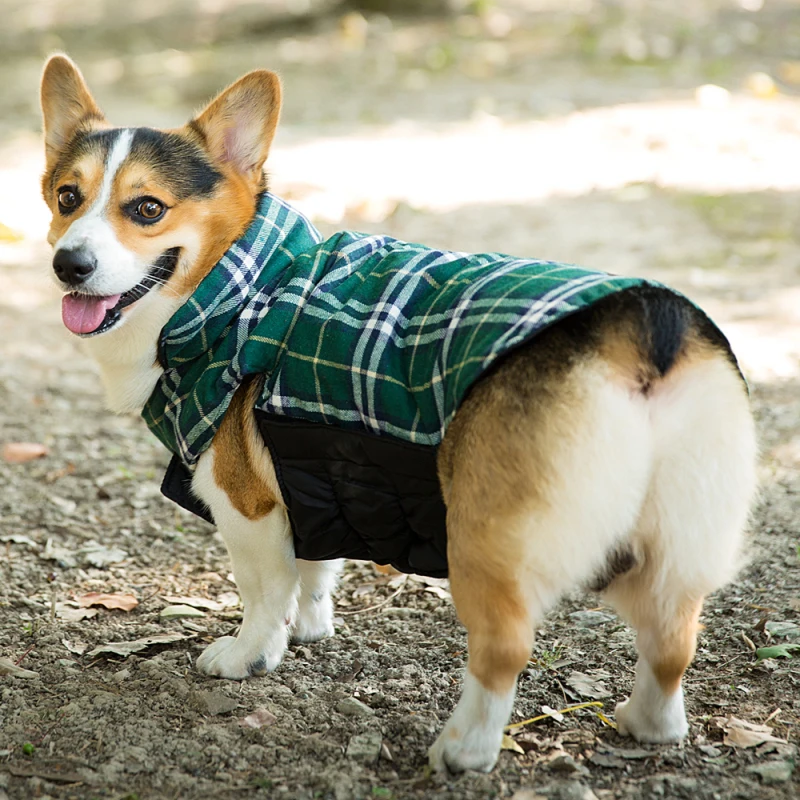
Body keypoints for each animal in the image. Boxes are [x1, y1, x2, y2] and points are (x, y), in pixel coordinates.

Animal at [42, 51, 756, 776]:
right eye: (67, 197)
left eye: (147, 208)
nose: (69, 264)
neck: (239, 283)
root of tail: (646, 327)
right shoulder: (313, 480)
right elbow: (315, 569)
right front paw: (312, 629)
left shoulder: (245, 504)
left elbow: (265, 592)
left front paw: (250, 656)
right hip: (669, 537)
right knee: (673, 640)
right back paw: (647, 724)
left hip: (488, 543)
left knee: (505, 648)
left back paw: (464, 750)